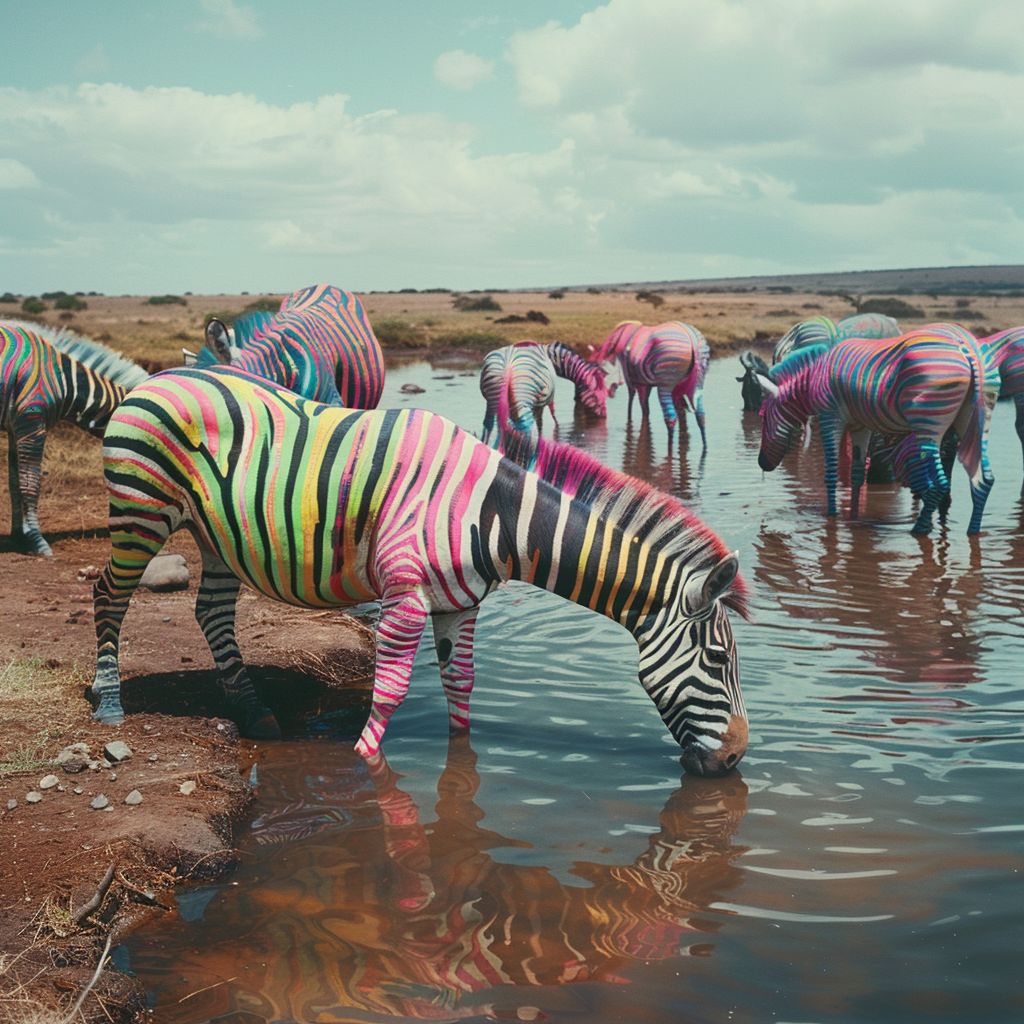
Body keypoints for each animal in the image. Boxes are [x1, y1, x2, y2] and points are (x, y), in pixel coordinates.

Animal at [0, 321, 148, 557]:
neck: (64, 380)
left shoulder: (16, 427)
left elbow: (15, 482)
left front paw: (18, 537)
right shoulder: (31, 421)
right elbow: (31, 483)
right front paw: (37, 541)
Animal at [92, 368, 749, 774]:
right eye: (719, 659)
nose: (737, 760)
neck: (492, 513)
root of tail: (157, 377)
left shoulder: (461, 605)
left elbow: (461, 684)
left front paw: (460, 766)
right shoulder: (405, 598)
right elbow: (389, 690)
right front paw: (366, 764)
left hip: (216, 535)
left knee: (211, 612)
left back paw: (254, 712)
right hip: (141, 509)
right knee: (107, 595)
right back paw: (108, 704)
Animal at [593, 319, 712, 448]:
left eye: (599, 375)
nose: (609, 394)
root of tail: (692, 338)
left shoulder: (634, 379)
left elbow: (633, 400)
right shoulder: (647, 384)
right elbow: (646, 409)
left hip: (665, 383)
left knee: (671, 418)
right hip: (698, 381)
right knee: (700, 415)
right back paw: (705, 448)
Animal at [761, 325, 991, 536]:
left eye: (763, 417)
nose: (762, 464)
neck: (814, 378)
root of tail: (966, 351)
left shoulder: (830, 418)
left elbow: (831, 472)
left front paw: (832, 516)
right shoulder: (860, 426)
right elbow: (856, 474)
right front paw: (853, 518)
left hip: (929, 425)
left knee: (942, 484)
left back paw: (920, 528)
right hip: (971, 420)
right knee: (983, 479)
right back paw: (973, 530)